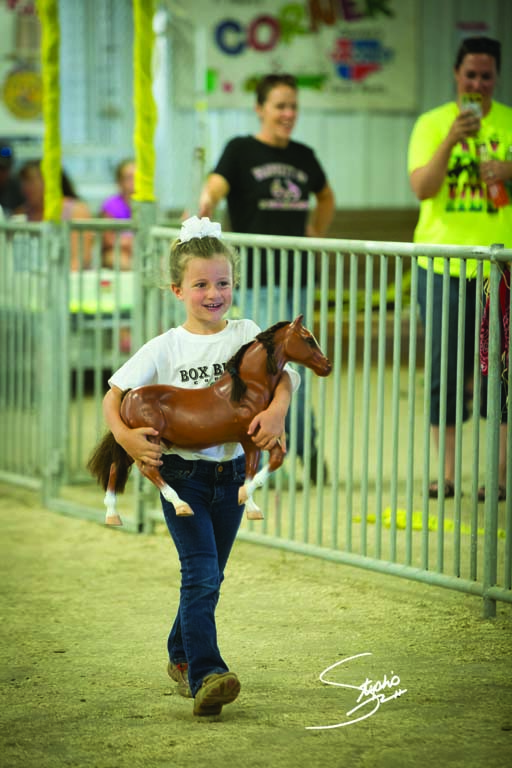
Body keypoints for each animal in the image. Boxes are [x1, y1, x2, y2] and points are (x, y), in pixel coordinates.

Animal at [87, 316, 332, 524]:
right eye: (308, 339)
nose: (327, 366)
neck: (246, 390)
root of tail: (129, 396)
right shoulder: (250, 438)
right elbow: (259, 467)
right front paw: (247, 501)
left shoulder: (260, 436)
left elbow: (273, 460)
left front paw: (248, 502)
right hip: (147, 442)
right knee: (148, 470)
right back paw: (181, 505)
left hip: (133, 444)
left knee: (115, 467)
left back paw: (112, 515)